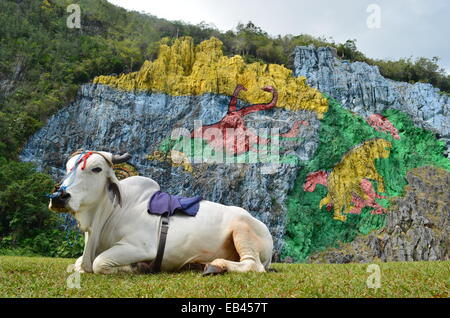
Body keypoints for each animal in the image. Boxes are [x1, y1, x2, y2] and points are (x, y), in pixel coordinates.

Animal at [49, 150, 274, 274]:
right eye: (68, 168)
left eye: (96, 169)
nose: (59, 196)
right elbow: (78, 264)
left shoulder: (139, 247)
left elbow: (99, 263)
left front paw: (137, 267)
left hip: (242, 228)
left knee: (252, 265)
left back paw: (217, 265)